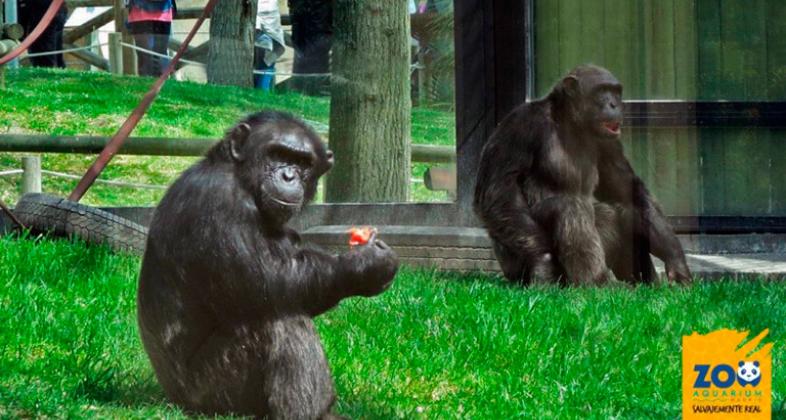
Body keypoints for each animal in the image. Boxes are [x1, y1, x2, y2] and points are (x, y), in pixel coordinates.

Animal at [136, 110, 402, 418]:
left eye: (303, 162)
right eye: (277, 153)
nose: (288, 174)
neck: (241, 178)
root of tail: (172, 399)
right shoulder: (222, 201)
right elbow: (273, 281)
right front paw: (367, 264)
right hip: (213, 395)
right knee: (280, 322)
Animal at [472, 63, 688, 286]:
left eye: (616, 91)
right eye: (602, 90)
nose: (614, 104)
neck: (570, 123)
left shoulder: (609, 143)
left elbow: (626, 189)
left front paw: (675, 258)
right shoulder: (520, 125)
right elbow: (499, 190)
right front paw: (543, 262)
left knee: (622, 211)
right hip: (515, 262)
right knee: (568, 208)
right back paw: (597, 284)